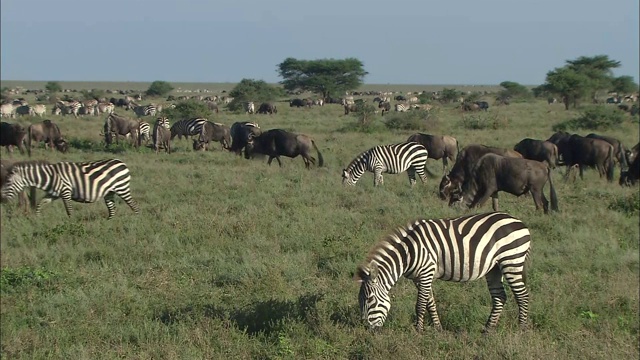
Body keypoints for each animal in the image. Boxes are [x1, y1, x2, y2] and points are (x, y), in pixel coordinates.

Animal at [0, 158, 139, 219]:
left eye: (8, 182)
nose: (2, 200)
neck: (49, 176)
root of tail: (121, 162)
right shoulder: (53, 194)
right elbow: (40, 204)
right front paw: (37, 219)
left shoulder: (65, 191)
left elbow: (69, 210)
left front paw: (71, 223)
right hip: (109, 192)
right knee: (112, 210)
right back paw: (109, 223)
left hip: (122, 188)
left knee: (134, 206)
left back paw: (136, 222)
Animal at [356, 211, 528, 332]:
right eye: (359, 300)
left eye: (370, 300)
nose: (365, 329)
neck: (408, 253)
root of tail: (518, 221)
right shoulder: (419, 278)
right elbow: (430, 302)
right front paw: (438, 328)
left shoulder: (426, 271)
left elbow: (420, 304)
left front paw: (418, 330)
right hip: (495, 268)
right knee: (500, 296)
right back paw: (488, 329)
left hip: (511, 261)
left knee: (522, 295)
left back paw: (522, 329)